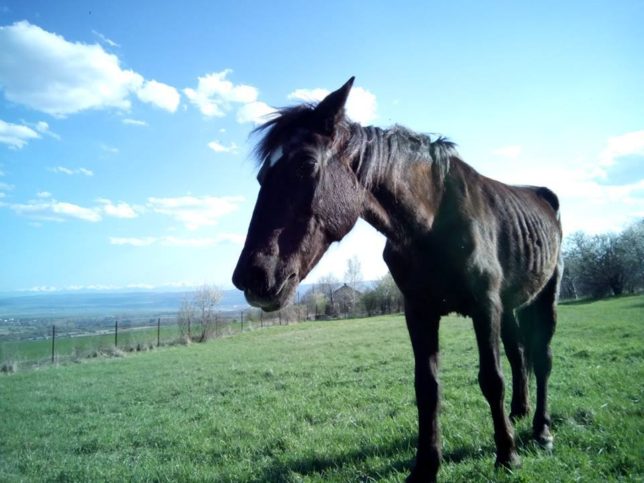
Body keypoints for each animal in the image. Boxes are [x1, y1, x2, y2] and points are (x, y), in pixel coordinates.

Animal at [230, 77, 560, 482]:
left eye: (305, 165)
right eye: (262, 176)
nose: (251, 277)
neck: (432, 223)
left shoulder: (486, 306)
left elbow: (491, 379)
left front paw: (507, 456)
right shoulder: (419, 311)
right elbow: (427, 388)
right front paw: (425, 467)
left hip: (544, 296)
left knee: (541, 357)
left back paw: (541, 430)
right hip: (512, 306)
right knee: (519, 354)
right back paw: (519, 412)